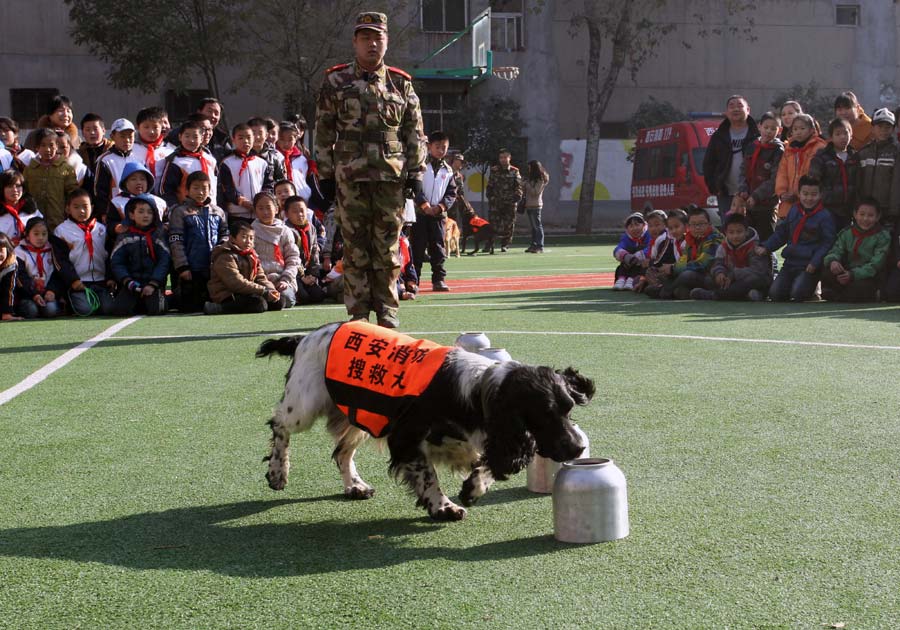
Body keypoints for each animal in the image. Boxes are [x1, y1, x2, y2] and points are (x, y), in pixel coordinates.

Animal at [256, 324, 596, 520]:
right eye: (545, 414)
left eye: (568, 409)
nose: (579, 449)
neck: (478, 391)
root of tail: (307, 336)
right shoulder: (405, 436)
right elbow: (428, 474)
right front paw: (443, 506)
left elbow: (490, 461)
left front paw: (473, 487)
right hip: (305, 403)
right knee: (280, 425)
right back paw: (278, 472)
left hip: (361, 413)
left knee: (341, 452)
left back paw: (355, 486)